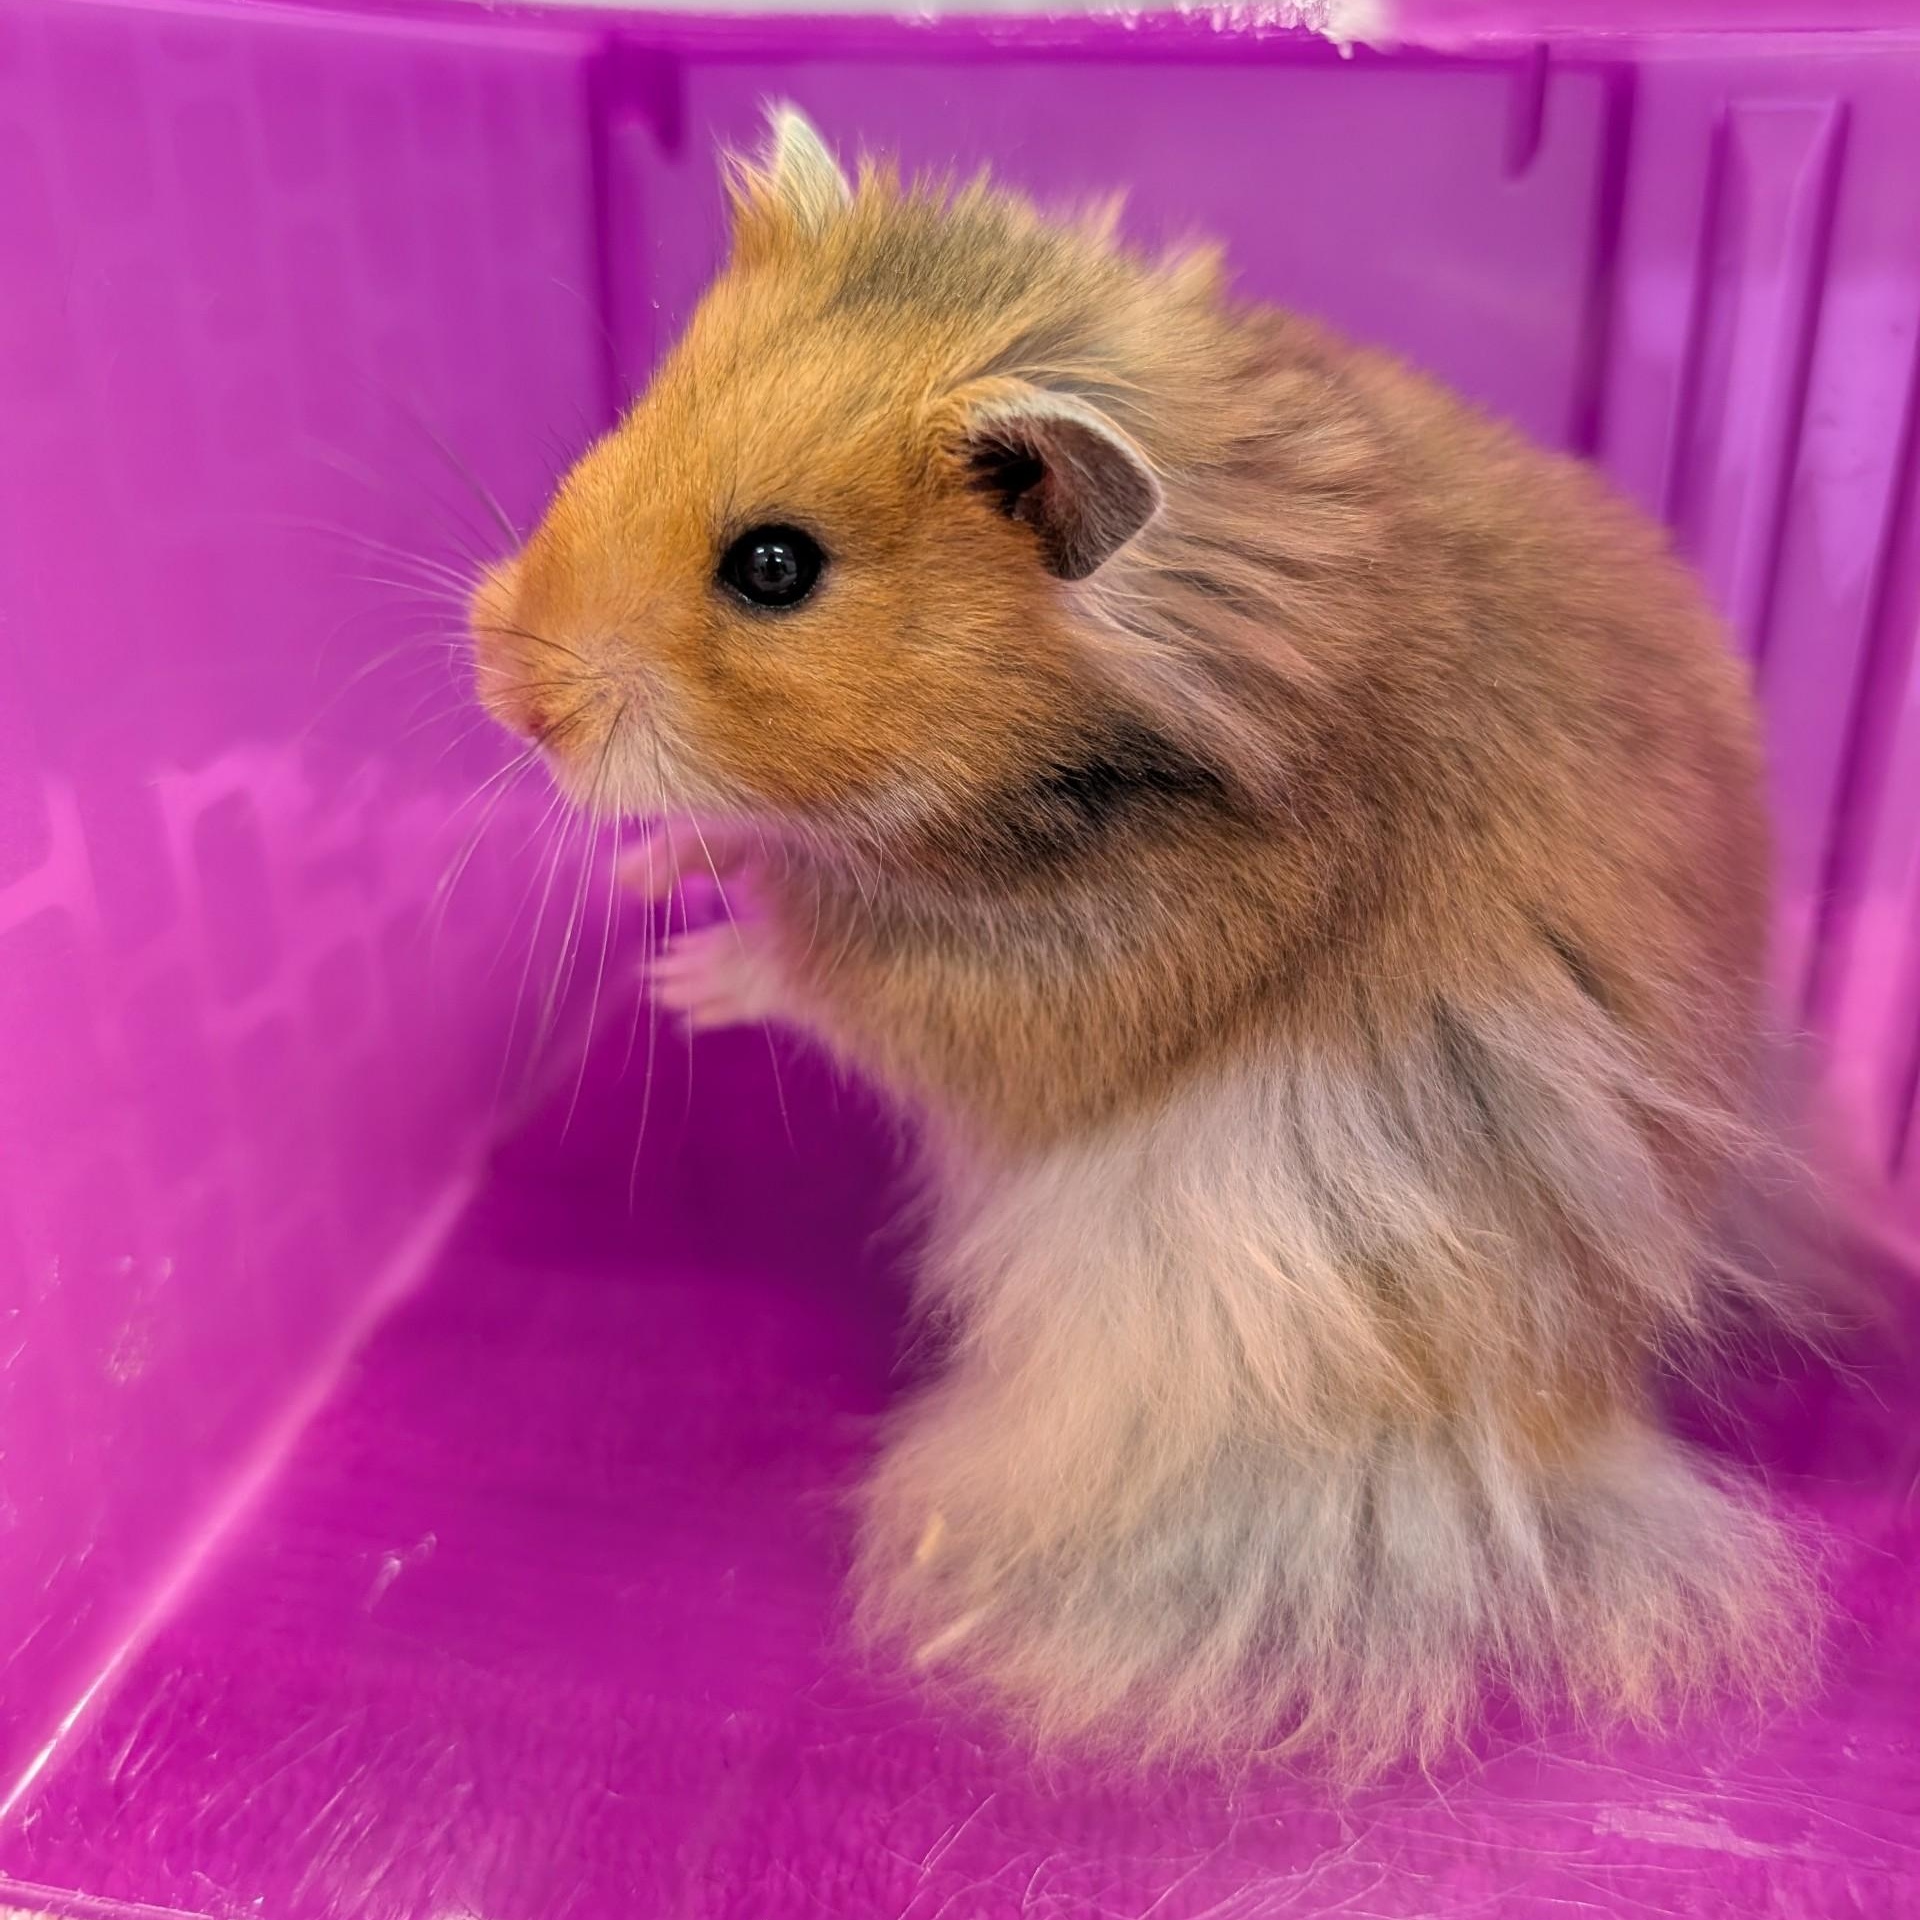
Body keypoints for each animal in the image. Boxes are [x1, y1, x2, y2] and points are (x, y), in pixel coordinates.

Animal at [470, 107, 1817, 1772]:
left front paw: (684, 975)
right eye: (635, 416)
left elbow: (834, 970)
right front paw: (662, 870)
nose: (496, 680)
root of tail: (1577, 1420)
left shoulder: (1035, 993)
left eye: (775, 568)